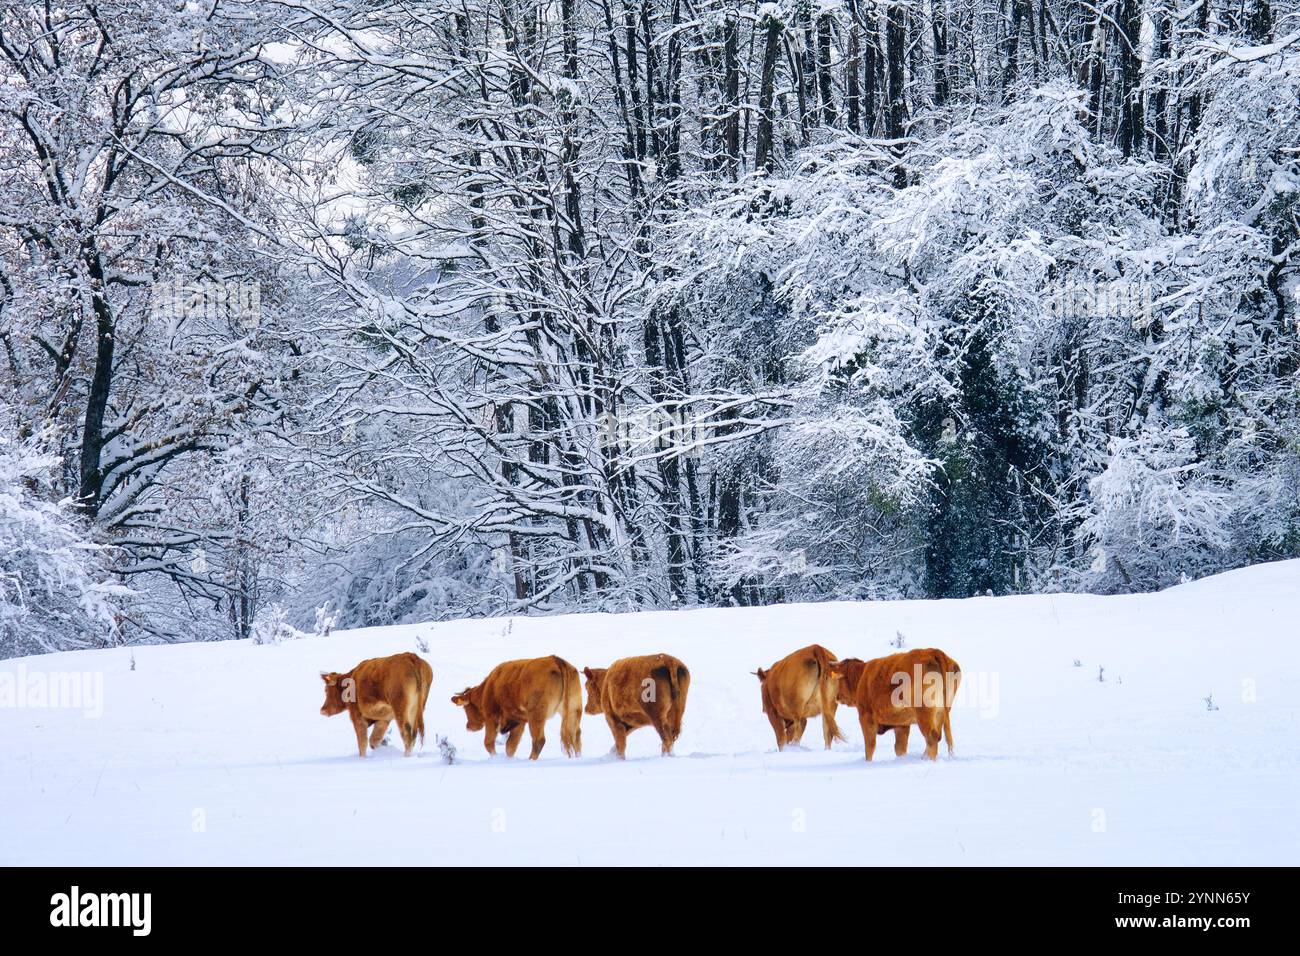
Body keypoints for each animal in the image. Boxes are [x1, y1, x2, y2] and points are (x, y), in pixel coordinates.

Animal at [450, 656, 582, 760]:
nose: (468, 726)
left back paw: (530, 760)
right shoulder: (519, 722)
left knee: (539, 740)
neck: (487, 689)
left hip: (536, 715)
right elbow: (510, 746)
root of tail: (556, 660)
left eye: (466, 709)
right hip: (573, 710)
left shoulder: (492, 718)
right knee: (575, 736)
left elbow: (489, 743)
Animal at [829, 649, 961, 760]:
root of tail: (934, 652)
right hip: (940, 714)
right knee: (936, 737)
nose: (837, 697)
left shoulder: (866, 716)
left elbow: (870, 746)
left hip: (924, 712)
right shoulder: (902, 724)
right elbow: (900, 748)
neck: (862, 676)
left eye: (839, 680)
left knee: (932, 737)